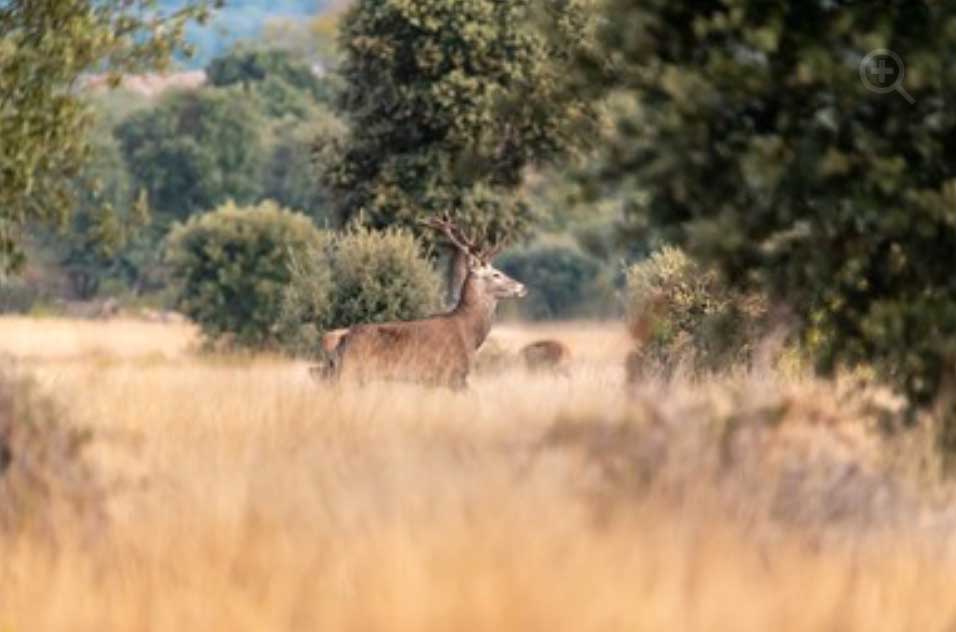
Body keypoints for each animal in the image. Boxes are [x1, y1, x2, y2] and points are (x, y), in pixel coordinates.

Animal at [324, 215, 528, 388]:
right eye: (496, 274)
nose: (522, 287)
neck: (468, 332)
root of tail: (343, 340)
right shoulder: (452, 375)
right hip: (351, 373)